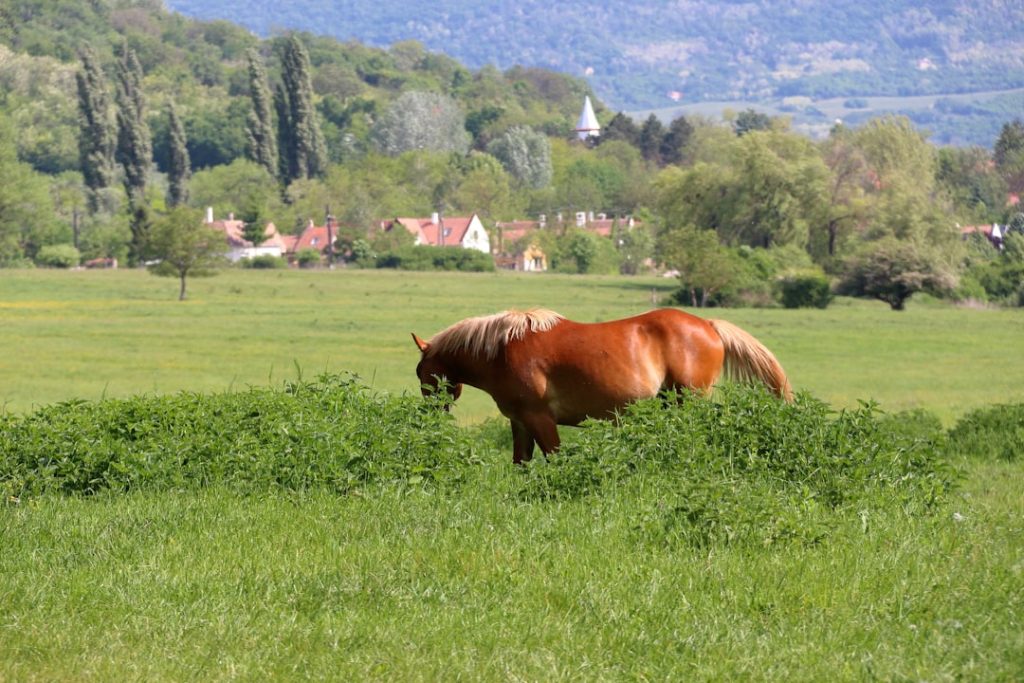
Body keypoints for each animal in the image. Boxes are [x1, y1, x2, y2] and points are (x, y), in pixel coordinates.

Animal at [412, 308, 793, 464]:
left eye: (421, 375)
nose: (431, 415)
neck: (504, 349)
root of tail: (709, 325)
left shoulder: (540, 419)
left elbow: (555, 458)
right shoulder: (519, 423)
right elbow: (522, 464)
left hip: (689, 402)